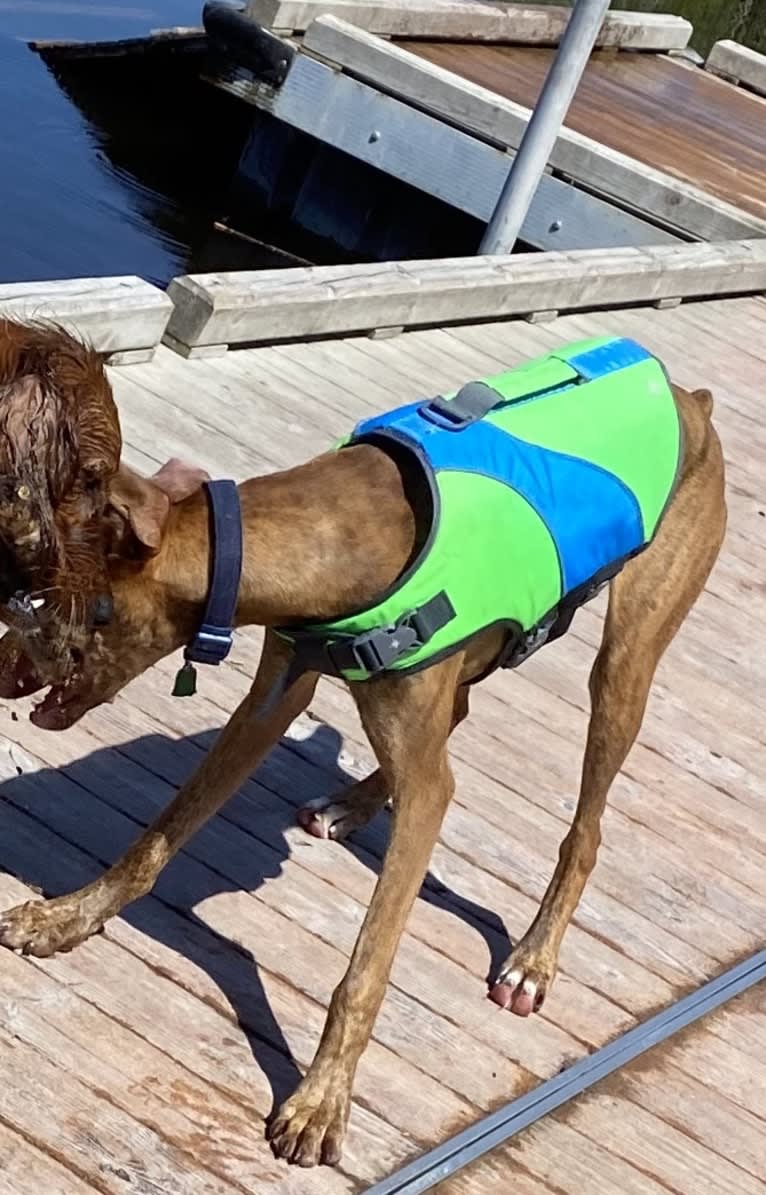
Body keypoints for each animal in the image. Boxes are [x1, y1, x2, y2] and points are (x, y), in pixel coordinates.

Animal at [0, 380, 726, 1156]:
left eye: (58, 603)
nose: (3, 672)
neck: (337, 538)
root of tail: (687, 395)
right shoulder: (274, 698)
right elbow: (155, 842)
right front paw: (69, 918)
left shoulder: (420, 786)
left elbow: (366, 970)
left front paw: (321, 1100)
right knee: (449, 724)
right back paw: (352, 803)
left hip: (626, 661)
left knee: (583, 825)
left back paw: (533, 958)